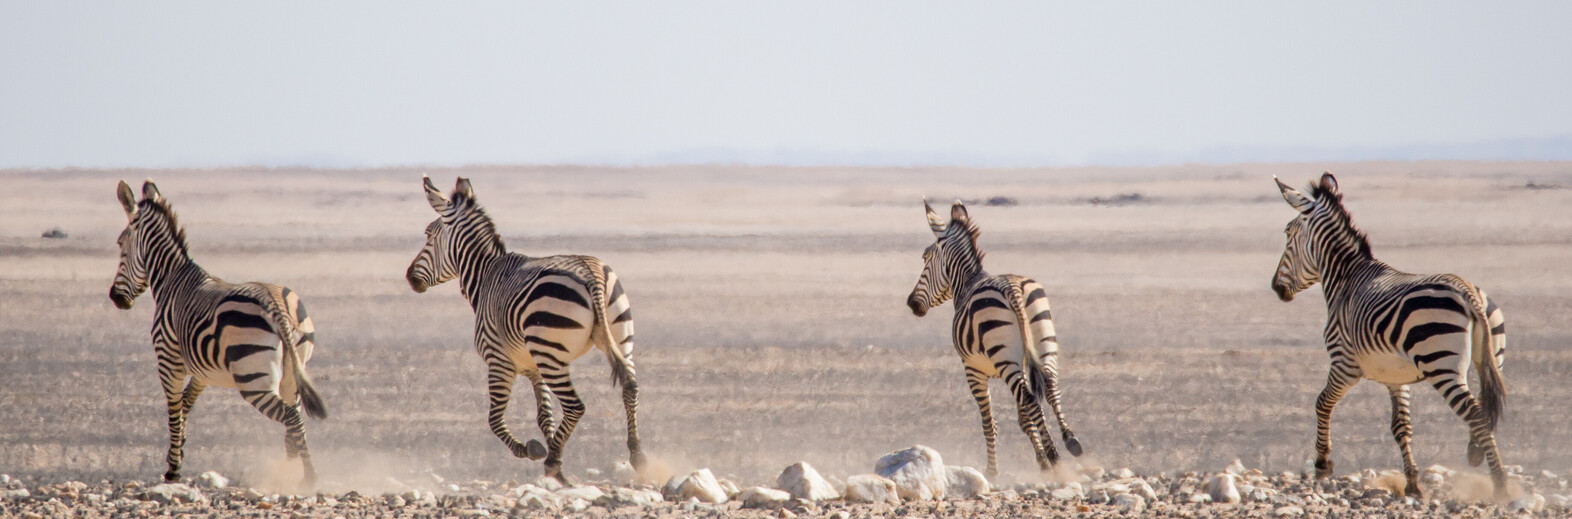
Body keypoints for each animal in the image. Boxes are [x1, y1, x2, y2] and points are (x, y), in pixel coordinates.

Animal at [109, 180, 326, 484]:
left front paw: (173, 469)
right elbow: (186, 405)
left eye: (120, 243)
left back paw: (307, 476)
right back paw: (289, 466)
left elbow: (173, 410)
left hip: (253, 379)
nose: (115, 298)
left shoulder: (168, 361)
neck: (172, 279)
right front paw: (179, 450)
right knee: (294, 415)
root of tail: (275, 304)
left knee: (291, 417)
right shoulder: (202, 372)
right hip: (294, 371)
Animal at [408, 176, 647, 484]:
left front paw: (536, 450)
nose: (410, 277)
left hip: (551, 354)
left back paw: (552, 461)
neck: (485, 276)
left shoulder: (498, 360)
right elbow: (544, 416)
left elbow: (494, 420)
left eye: (428, 235)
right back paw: (637, 455)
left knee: (575, 406)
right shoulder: (534, 367)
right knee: (630, 387)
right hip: (617, 338)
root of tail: (591, 272)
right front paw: (558, 460)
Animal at [905, 198, 1087, 478]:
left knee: (1031, 400)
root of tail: (1010, 287)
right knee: (1050, 387)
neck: (968, 282)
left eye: (926, 258)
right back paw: (1070, 442)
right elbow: (1024, 418)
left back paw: (1056, 458)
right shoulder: (1022, 365)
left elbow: (989, 422)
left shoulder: (973, 370)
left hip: (1004, 360)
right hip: (1043, 343)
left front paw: (992, 471)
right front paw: (1040, 460)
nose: (911, 303)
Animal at [1263, 173, 1509, 500]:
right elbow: (1401, 427)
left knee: (1477, 414)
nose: (1276, 287)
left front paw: (1322, 464)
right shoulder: (1396, 377)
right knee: (1485, 408)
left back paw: (1501, 485)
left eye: (1288, 233)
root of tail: (1466, 290)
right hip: (1492, 359)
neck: (1346, 278)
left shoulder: (1344, 363)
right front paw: (1413, 484)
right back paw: (1476, 452)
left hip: (1442, 365)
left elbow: (1322, 402)